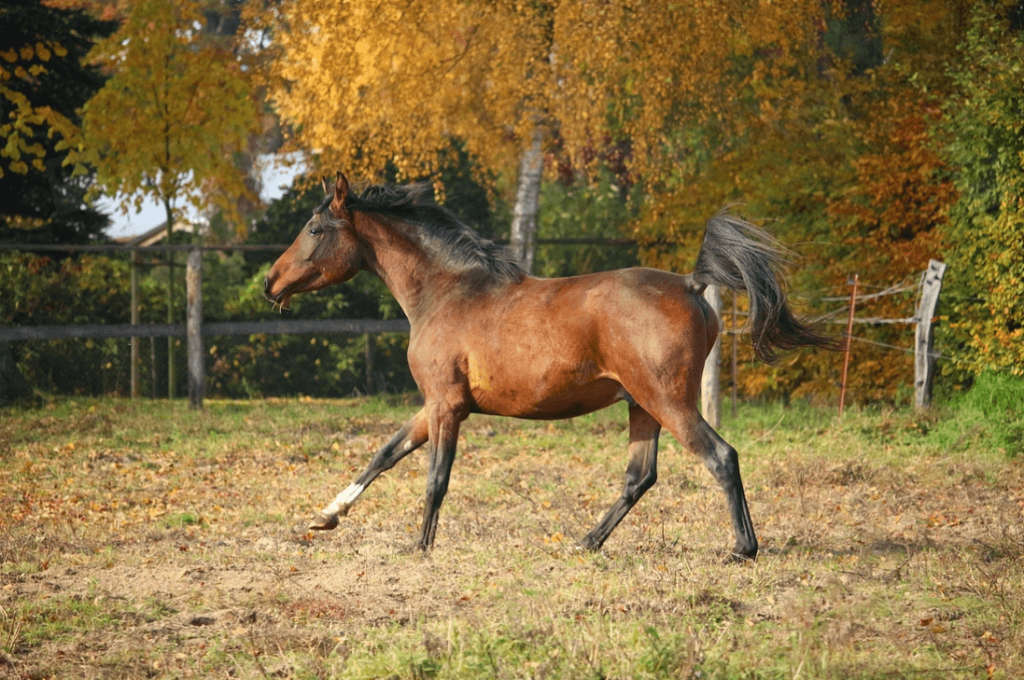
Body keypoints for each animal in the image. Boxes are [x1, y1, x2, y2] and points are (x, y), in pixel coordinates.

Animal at [262, 173, 831, 561]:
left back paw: (742, 549)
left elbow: (434, 479)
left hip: (669, 402)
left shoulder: (446, 406)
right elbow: (383, 454)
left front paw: (419, 547)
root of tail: (692, 284)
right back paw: (585, 542)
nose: (271, 282)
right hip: (642, 406)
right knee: (639, 478)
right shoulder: (436, 405)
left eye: (314, 228)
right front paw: (325, 516)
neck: (446, 292)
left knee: (720, 457)